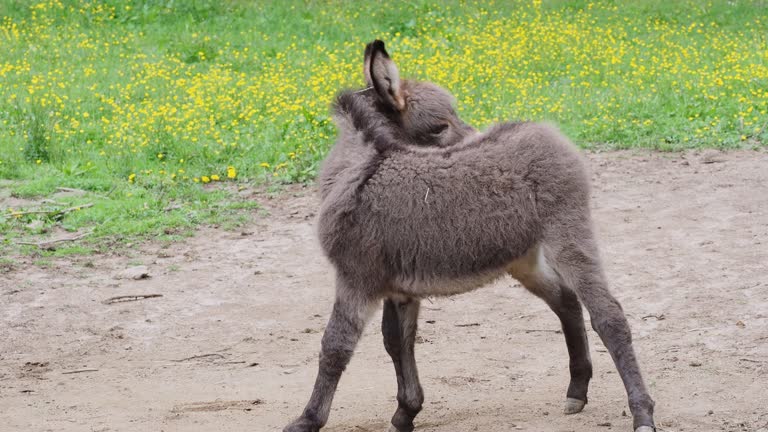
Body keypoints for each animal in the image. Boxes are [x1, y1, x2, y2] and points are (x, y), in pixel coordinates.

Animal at [284, 40, 656, 432]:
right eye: (439, 126)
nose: (473, 138)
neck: (359, 167)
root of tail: (544, 130)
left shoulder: (356, 278)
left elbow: (335, 347)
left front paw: (308, 419)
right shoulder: (398, 289)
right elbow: (397, 341)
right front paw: (406, 411)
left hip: (568, 234)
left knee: (609, 316)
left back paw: (642, 413)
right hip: (524, 258)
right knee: (566, 300)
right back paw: (577, 389)